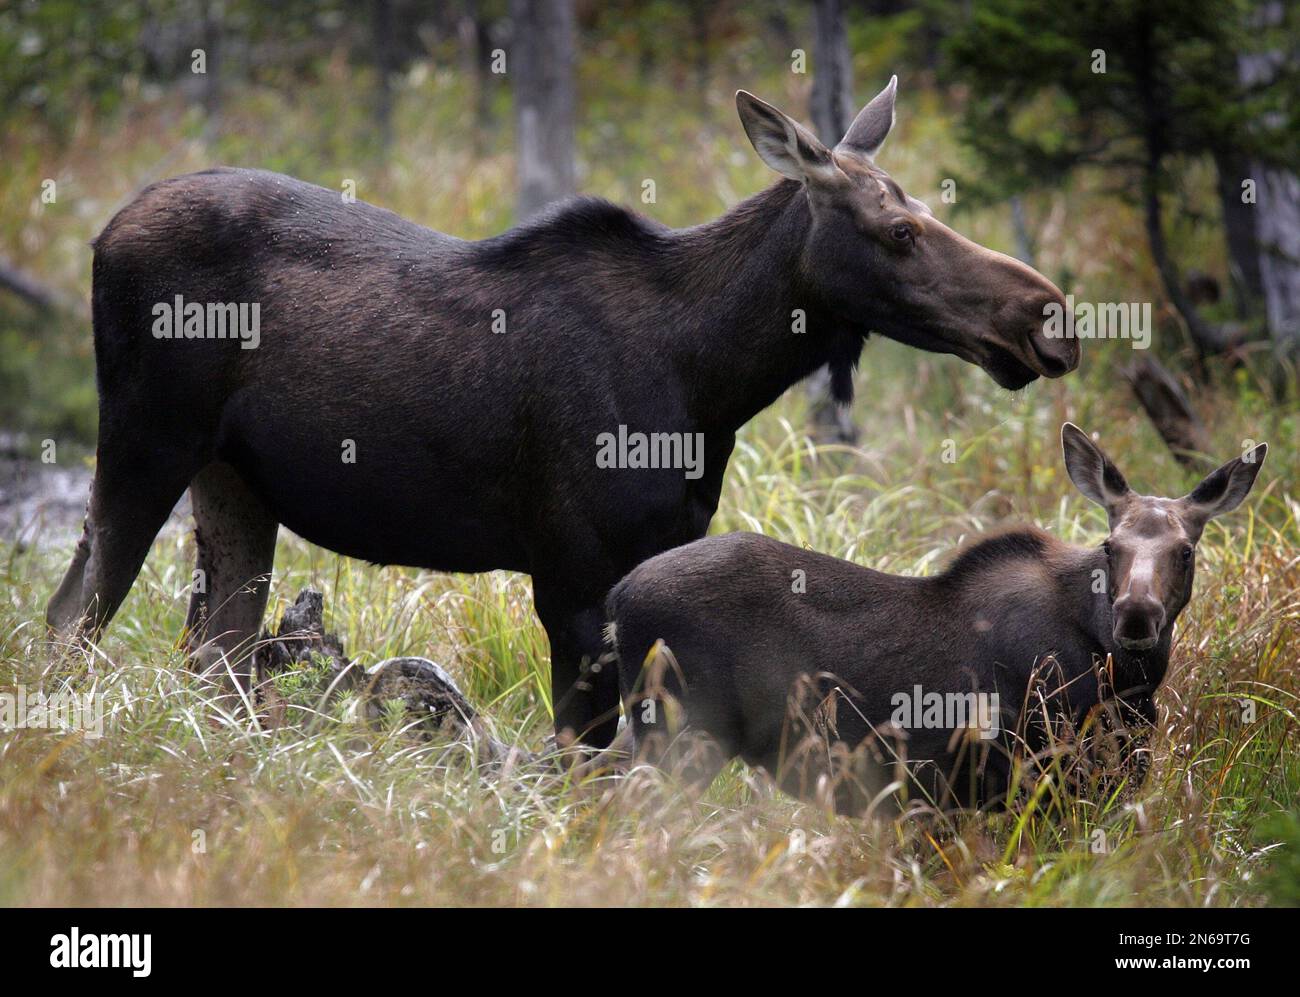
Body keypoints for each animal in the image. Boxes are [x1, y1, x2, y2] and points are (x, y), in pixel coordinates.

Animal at [46, 77, 1076, 750]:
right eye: (900, 230)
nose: (1048, 315)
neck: (710, 379)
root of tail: (99, 232)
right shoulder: (573, 573)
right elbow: (584, 756)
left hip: (233, 482)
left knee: (212, 652)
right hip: (143, 441)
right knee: (72, 616)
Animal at [604, 425, 1267, 810]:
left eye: (1186, 550)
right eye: (1111, 546)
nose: (1134, 616)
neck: (1131, 683)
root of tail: (616, 597)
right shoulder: (1040, 773)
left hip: (643, 726)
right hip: (681, 734)